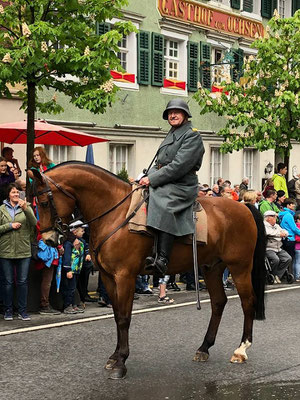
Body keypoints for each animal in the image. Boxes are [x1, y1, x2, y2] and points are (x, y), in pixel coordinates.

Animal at [28, 162, 266, 378]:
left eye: (44, 202)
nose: (49, 240)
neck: (117, 213)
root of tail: (243, 207)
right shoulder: (108, 277)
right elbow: (117, 315)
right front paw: (115, 356)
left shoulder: (125, 276)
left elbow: (124, 318)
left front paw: (121, 362)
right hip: (212, 269)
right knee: (218, 302)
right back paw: (204, 347)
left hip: (240, 267)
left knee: (248, 302)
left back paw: (241, 349)